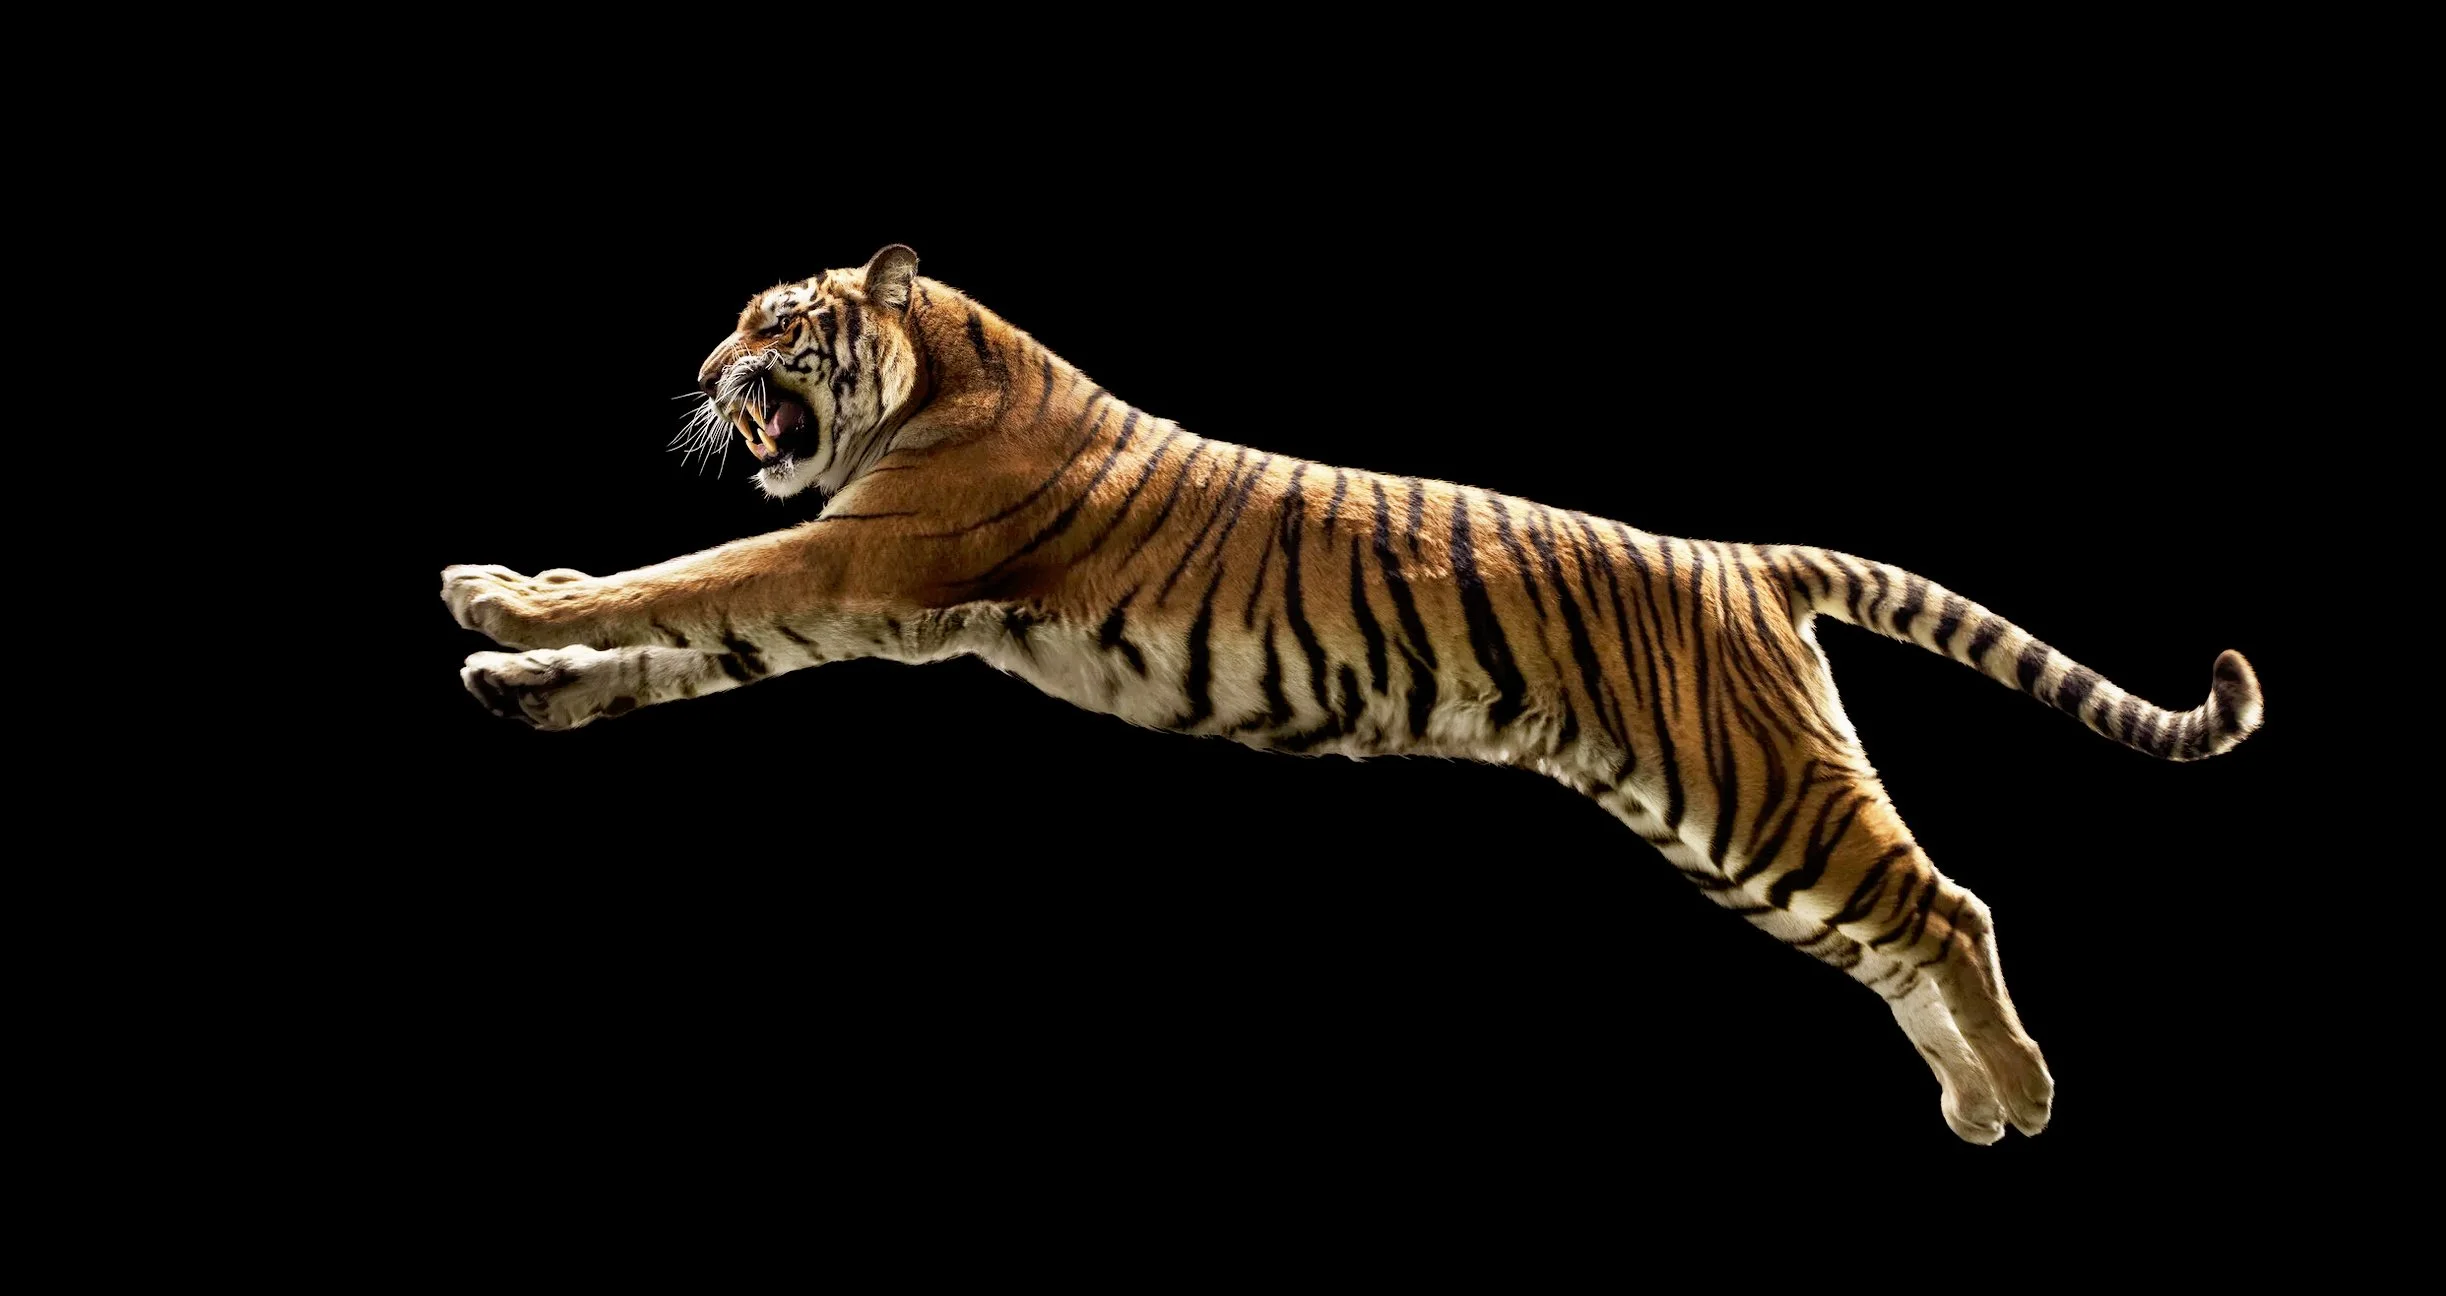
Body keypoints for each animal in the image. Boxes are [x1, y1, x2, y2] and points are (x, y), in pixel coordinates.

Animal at [441, 243, 2264, 1144]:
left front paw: (502, 594)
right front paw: (518, 682)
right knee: (1893, 937)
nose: (705, 375)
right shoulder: (846, 599)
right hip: (1722, 824)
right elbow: (672, 649)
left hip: (1754, 790)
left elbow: (676, 582)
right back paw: (1977, 1101)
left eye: (776, 328)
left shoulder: (862, 559)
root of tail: (1742, 557)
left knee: (1947, 906)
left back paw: (2020, 1093)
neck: (935, 382)